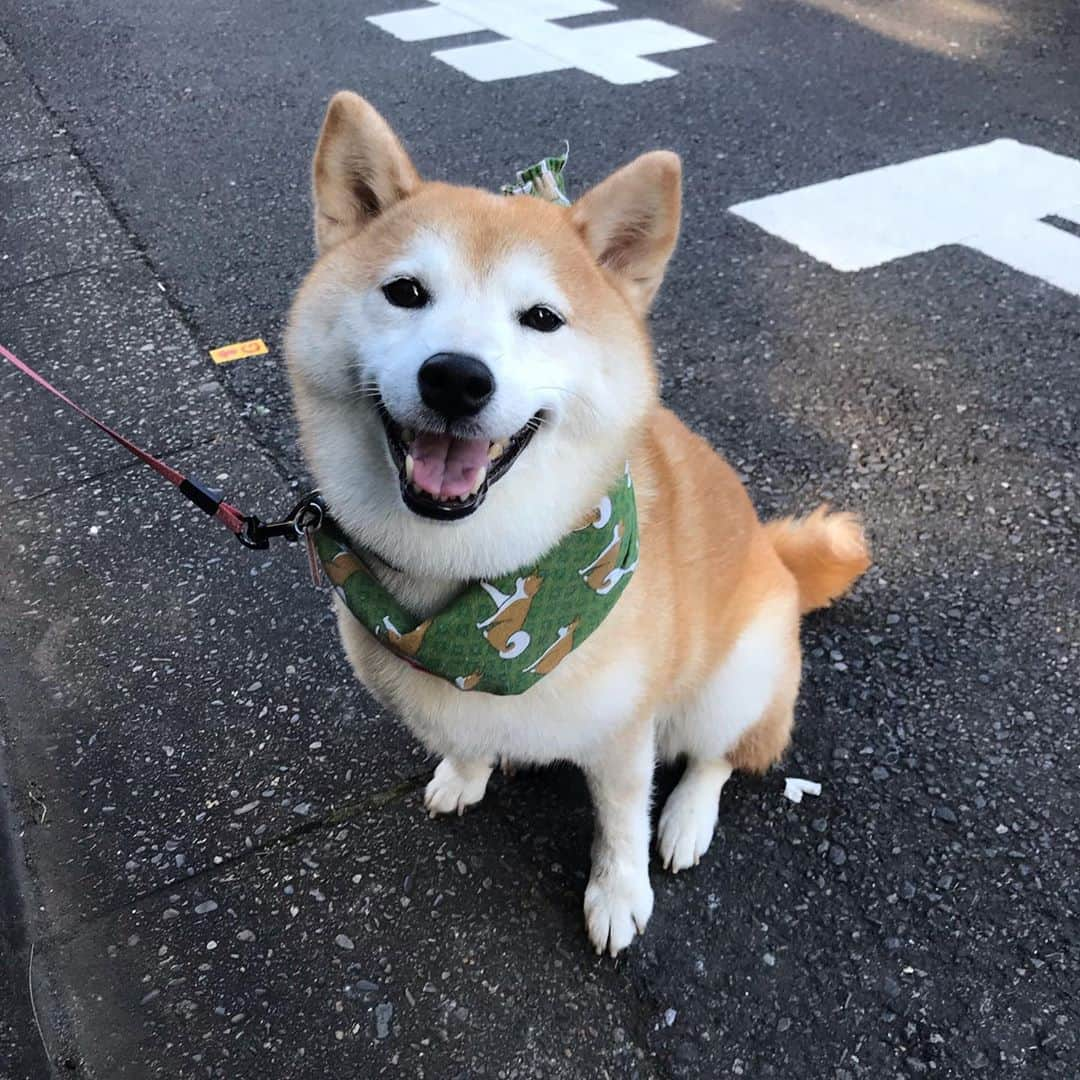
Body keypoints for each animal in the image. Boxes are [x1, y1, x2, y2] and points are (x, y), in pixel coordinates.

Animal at [285, 92, 868, 954]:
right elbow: (466, 738)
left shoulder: (624, 734)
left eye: (541, 318)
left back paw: (687, 819)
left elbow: (622, 821)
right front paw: (466, 773)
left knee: (719, 757)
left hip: (736, 677)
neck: (468, 575)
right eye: (406, 292)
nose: (456, 377)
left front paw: (619, 893)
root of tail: (775, 555)